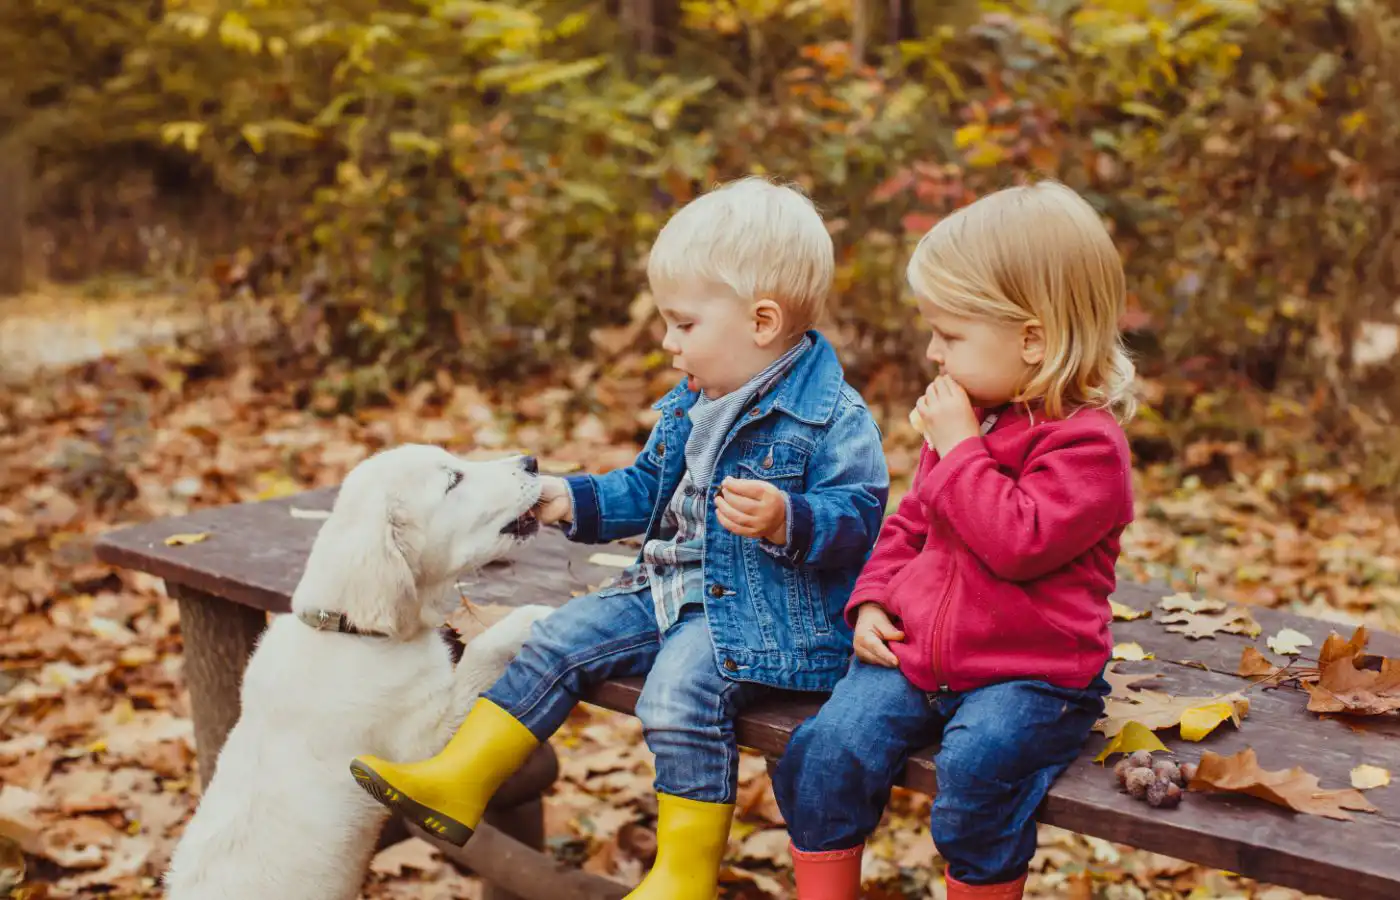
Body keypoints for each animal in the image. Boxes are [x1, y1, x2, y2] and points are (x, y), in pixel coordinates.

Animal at [162, 445, 551, 900]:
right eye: (452, 480)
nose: (531, 462)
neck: (349, 630)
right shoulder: (422, 743)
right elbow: (479, 654)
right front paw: (532, 616)